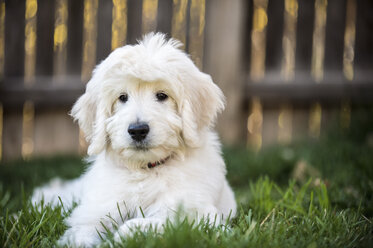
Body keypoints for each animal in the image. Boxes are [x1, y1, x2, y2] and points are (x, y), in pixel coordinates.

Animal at [32, 33, 235, 246]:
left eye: (162, 95)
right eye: (123, 97)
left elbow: (153, 223)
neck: (145, 170)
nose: (138, 130)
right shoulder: (98, 208)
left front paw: (121, 237)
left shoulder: (195, 214)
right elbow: (83, 231)